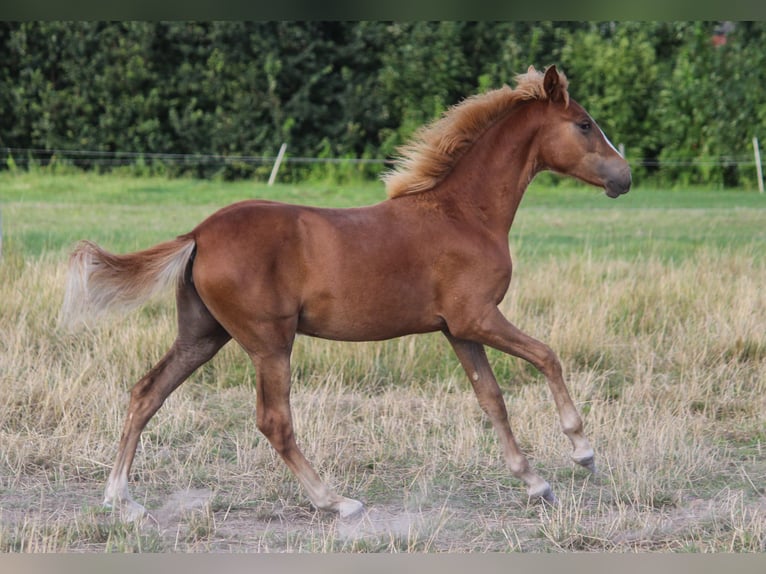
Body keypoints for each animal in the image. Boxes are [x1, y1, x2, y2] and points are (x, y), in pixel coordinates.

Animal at [61, 66, 632, 520]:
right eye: (584, 124)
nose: (624, 177)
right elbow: (547, 356)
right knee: (274, 421)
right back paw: (336, 502)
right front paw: (582, 452)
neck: (465, 214)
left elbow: (491, 399)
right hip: (269, 342)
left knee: (146, 393)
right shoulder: (478, 317)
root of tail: (199, 233)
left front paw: (536, 483)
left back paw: (121, 500)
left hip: (203, 334)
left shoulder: (459, 329)